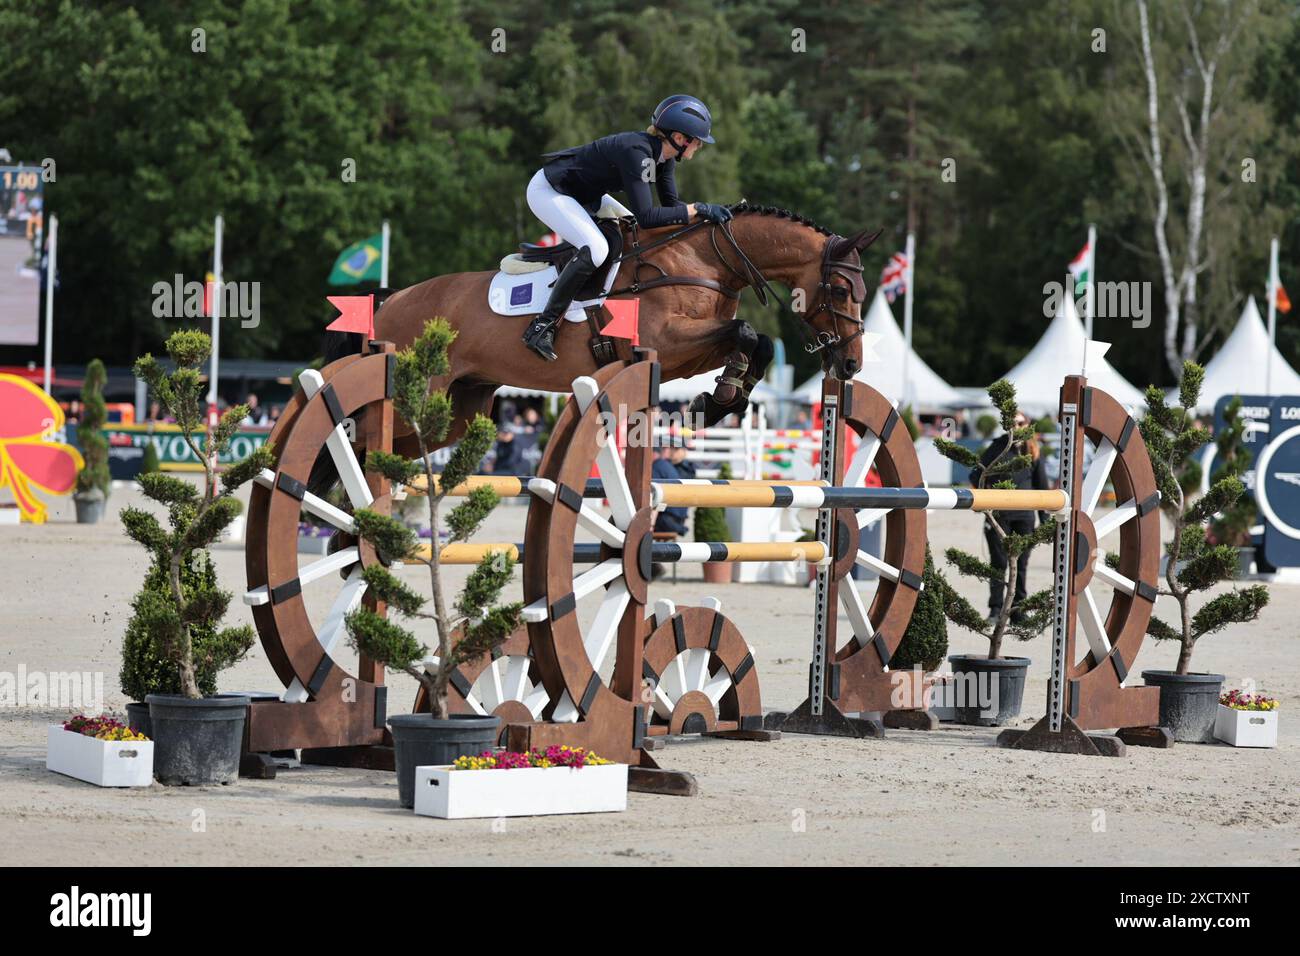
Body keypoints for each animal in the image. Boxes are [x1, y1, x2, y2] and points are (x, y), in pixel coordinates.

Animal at [322, 201, 883, 460]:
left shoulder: (689, 351)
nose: (851, 362)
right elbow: (745, 332)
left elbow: (755, 340)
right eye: (840, 289)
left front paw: (722, 398)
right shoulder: (666, 345)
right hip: (417, 397)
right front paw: (718, 399)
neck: (700, 258)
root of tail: (391, 299)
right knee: (360, 439)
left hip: (457, 408)